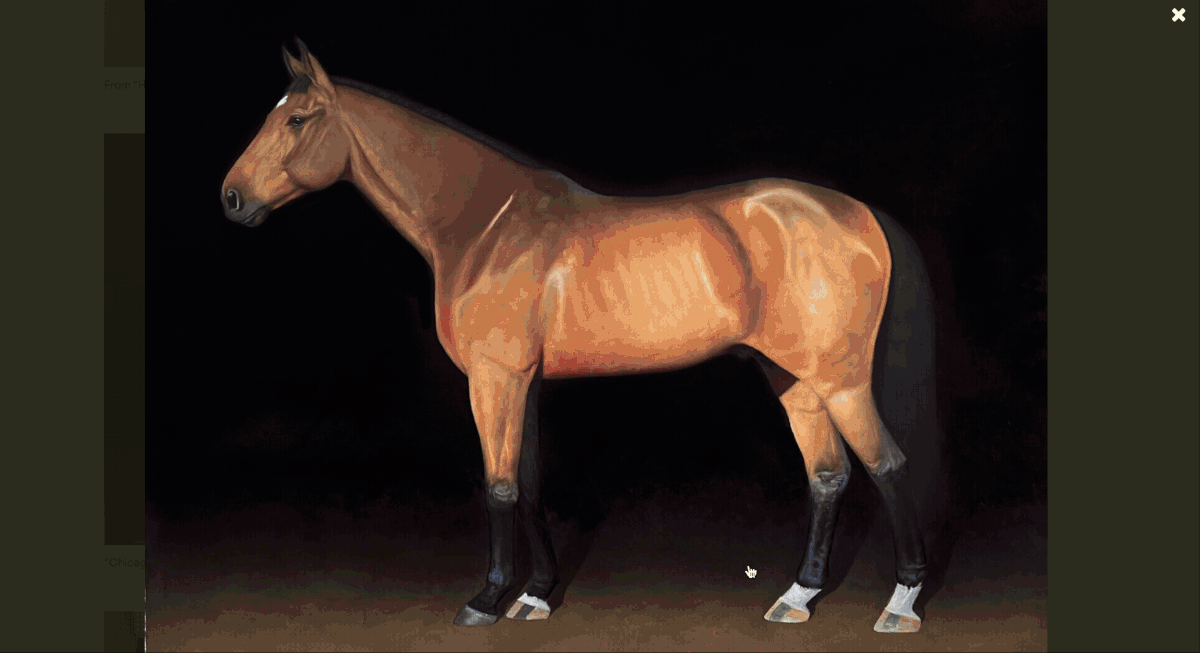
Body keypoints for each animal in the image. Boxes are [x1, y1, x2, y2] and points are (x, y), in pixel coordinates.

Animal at [221, 39, 936, 634]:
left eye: (297, 119)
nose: (230, 198)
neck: (486, 229)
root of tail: (859, 214)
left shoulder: (495, 379)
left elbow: (498, 485)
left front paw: (487, 600)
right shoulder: (525, 383)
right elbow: (529, 482)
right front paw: (536, 595)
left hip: (840, 379)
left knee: (887, 465)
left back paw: (900, 606)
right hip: (793, 376)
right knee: (829, 474)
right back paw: (797, 597)